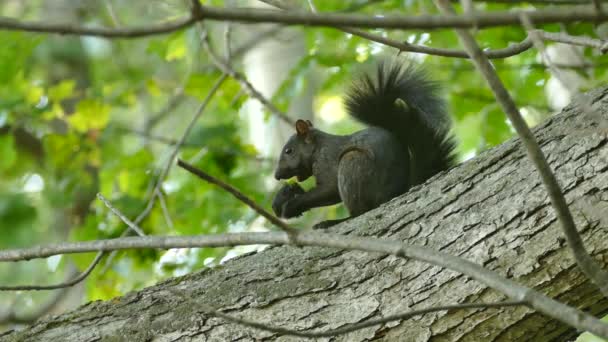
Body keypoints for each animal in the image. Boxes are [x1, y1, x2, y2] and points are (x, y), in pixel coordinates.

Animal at [272, 60, 456, 228]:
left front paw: (292, 205)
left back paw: (335, 221)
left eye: (288, 151)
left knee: (361, 212)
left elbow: (330, 189)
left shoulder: (327, 161)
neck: (317, 148)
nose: (277, 175)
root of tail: (395, 192)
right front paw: (288, 193)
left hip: (352, 163)